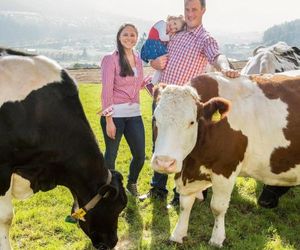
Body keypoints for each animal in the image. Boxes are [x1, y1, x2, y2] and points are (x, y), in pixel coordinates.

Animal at [151, 70, 300, 246]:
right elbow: (185, 204)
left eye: (192, 122)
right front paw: (178, 235)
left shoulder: (226, 169)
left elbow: (218, 207)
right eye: (155, 119)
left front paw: (217, 239)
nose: (164, 162)